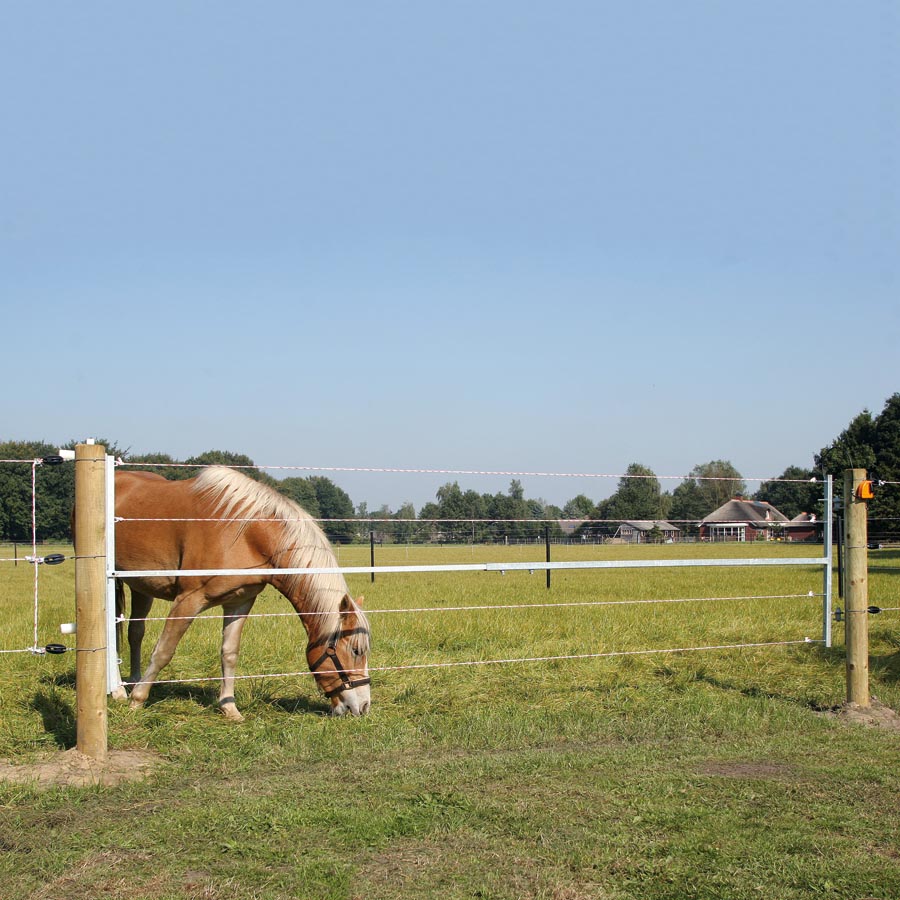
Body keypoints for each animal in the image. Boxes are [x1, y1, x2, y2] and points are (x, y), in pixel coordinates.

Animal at [114, 468, 370, 720]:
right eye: (356, 651)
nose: (364, 706)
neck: (246, 532)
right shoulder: (188, 600)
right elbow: (164, 651)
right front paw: (138, 700)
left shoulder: (239, 602)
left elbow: (229, 653)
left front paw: (229, 708)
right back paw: (119, 691)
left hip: (140, 587)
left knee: (134, 633)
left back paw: (133, 680)